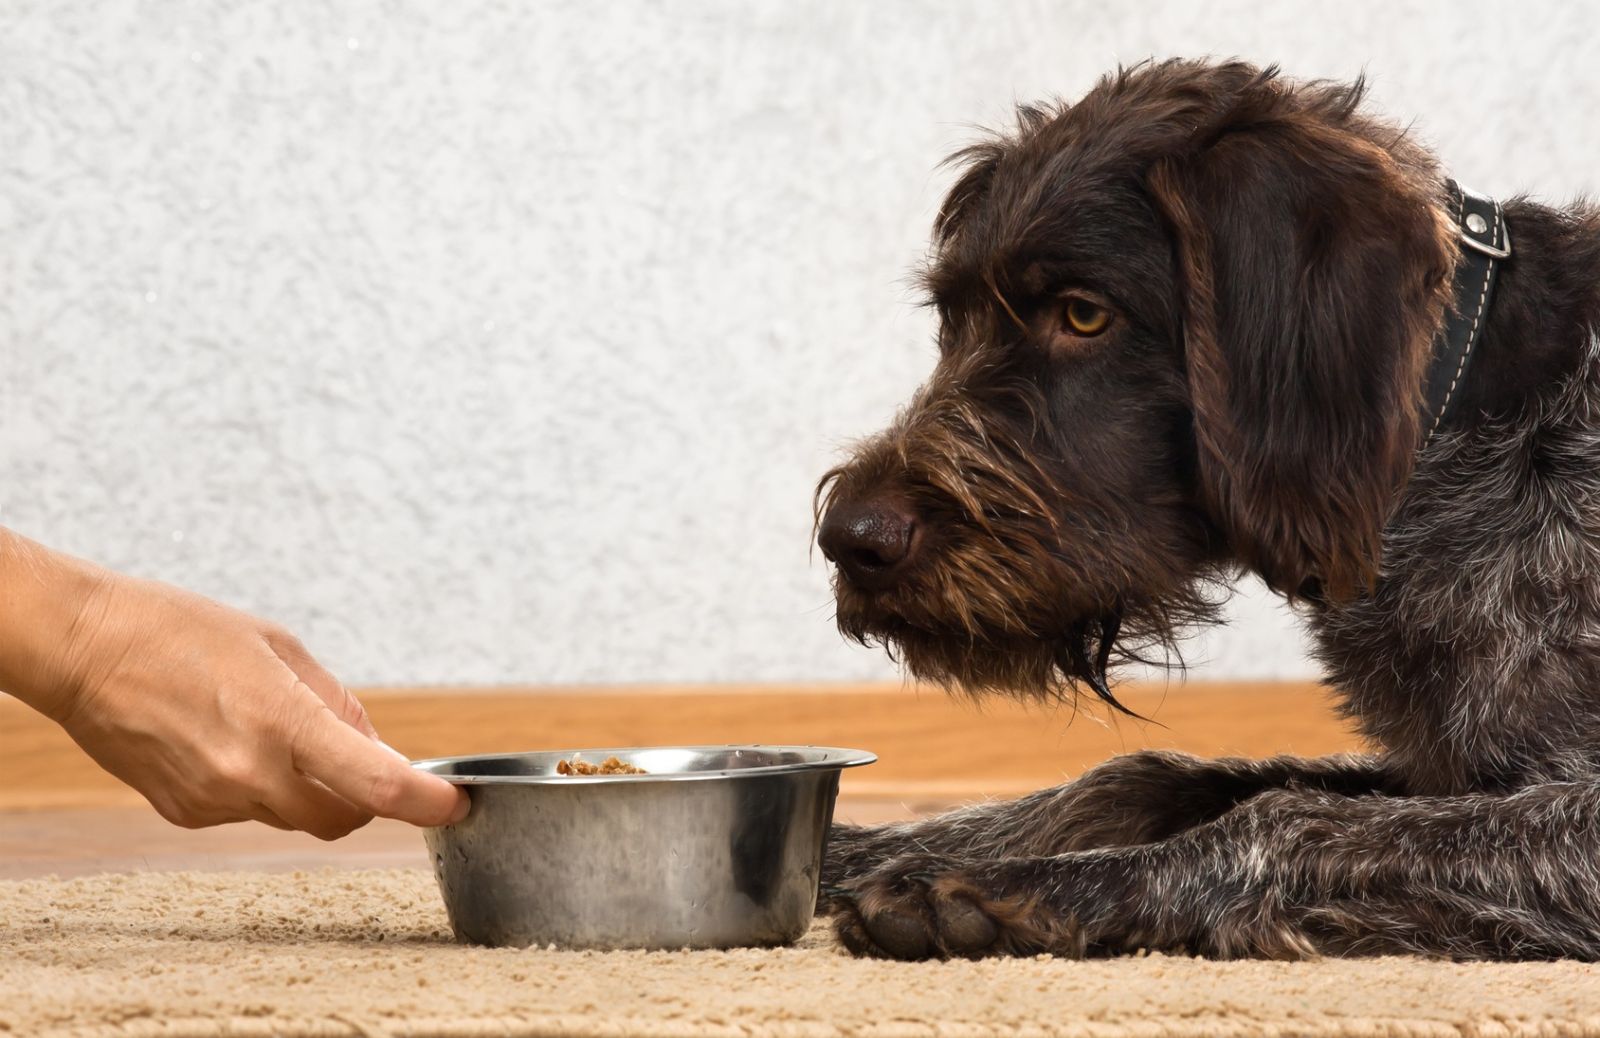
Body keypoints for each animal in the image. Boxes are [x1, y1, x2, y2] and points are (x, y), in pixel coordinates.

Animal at [812, 58, 1600, 953]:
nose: (849, 540)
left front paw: (1021, 886)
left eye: (1085, 314)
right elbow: (1142, 778)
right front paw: (849, 846)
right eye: (952, 318)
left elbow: (1284, 819)